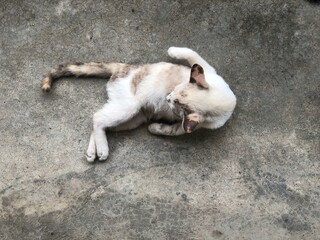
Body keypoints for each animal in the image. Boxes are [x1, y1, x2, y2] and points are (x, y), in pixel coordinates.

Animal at [41, 47, 236, 162]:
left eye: (174, 105)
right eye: (175, 89)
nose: (167, 97)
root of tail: (123, 67)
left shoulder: (193, 125)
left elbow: (173, 130)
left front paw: (155, 128)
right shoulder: (208, 70)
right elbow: (191, 53)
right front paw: (172, 50)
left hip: (133, 117)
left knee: (101, 121)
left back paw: (93, 152)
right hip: (128, 108)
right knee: (97, 117)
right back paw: (102, 150)